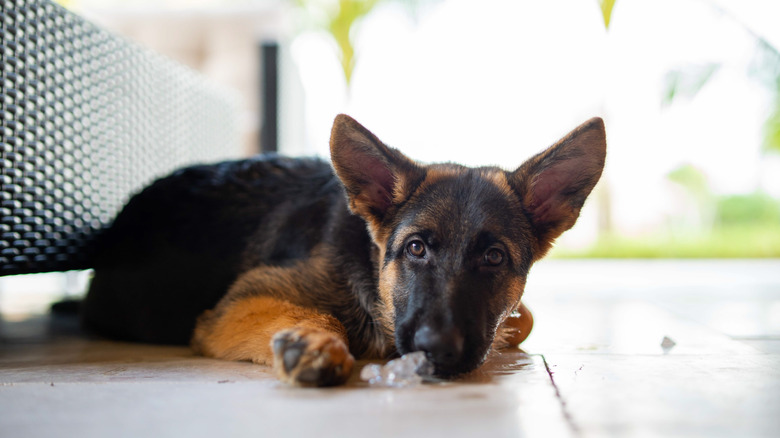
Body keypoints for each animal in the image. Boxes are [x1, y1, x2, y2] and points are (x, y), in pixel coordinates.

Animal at [82, 114, 608, 386]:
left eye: (494, 258)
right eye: (415, 248)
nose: (436, 349)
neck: (369, 263)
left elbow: (523, 318)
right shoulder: (237, 303)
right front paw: (313, 341)